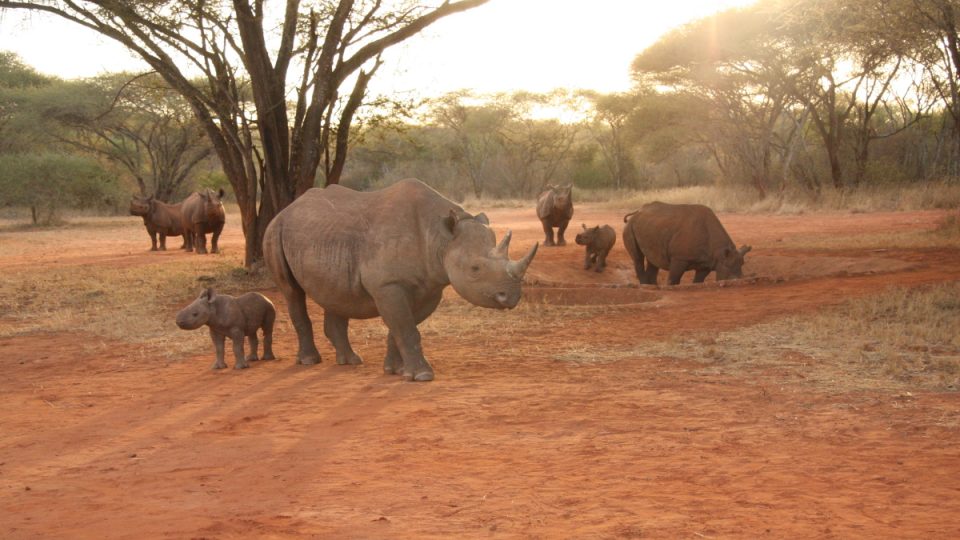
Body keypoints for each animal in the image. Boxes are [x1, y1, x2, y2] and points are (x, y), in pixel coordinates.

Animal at [262, 179, 540, 382]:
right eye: (475, 269)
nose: (511, 297)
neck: (440, 237)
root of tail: (287, 208)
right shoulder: (388, 284)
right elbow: (406, 328)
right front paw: (423, 375)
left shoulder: (430, 287)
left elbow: (401, 327)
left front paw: (396, 371)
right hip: (275, 229)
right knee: (291, 291)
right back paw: (310, 360)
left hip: (322, 236)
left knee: (335, 293)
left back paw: (350, 361)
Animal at [624, 201, 752, 286]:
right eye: (727, 267)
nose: (739, 282)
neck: (719, 252)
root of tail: (637, 212)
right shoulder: (679, 258)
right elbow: (673, 279)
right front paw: (670, 287)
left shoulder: (707, 262)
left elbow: (698, 281)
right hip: (629, 226)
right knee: (638, 258)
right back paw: (645, 286)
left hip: (650, 226)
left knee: (653, 260)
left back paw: (652, 286)